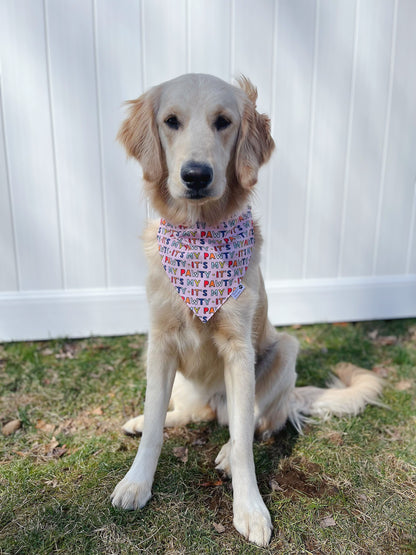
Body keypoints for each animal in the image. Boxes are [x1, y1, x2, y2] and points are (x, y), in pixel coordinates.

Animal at [111, 74, 384, 548]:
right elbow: (156, 427)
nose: (196, 175)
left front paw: (250, 509)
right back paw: (144, 421)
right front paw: (136, 481)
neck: (201, 237)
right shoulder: (160, 344)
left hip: (285, 350)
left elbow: (242, 441)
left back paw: (223, 447)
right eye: (171, 121)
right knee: (191, 413)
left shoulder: (239, 350)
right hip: (187, 382)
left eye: (223, 122)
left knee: (256, 422)